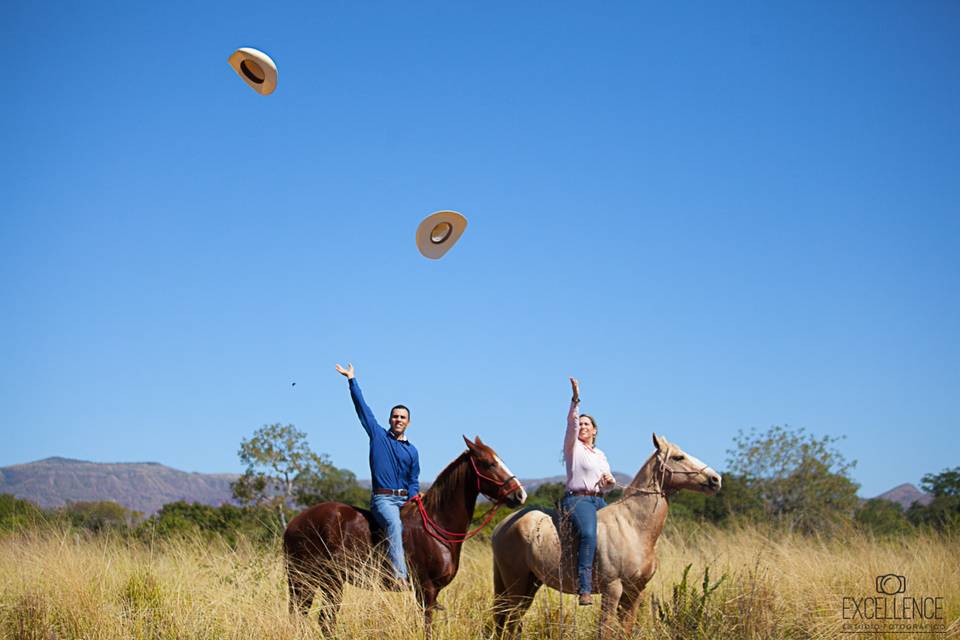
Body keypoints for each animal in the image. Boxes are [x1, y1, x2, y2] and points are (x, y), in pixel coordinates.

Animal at [282, 438, 528, 636]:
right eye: (489, 463)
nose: (520, 494)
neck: (438, 526)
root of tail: (294, 523)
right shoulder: (426, 590)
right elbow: (427, 628)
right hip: (319, 581)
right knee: (320, 620)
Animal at [496, 432, 720, 636]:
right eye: (678, 457)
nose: (716, 479)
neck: (633, 528)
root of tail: (503, 525)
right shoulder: (612, 589)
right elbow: (605, 630)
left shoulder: (635, 590)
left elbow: (626, 630)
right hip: (515, 583)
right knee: (511, 621)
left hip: (530, 583)